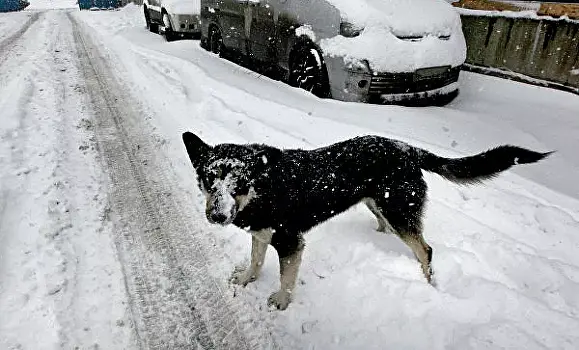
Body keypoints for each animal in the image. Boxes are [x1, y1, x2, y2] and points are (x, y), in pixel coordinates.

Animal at [184, 131, 552, 308]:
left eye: (238, 184)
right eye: (208, 179)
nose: (217, 215)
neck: (264, 186)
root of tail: (408, 148)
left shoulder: (290, 242)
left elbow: (286, 278)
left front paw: (281, 301)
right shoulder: (262, 234)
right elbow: (256, 260)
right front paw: (247, 279)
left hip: (398, 210)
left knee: (425, 249)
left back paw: (427, 283)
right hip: (378, 204)